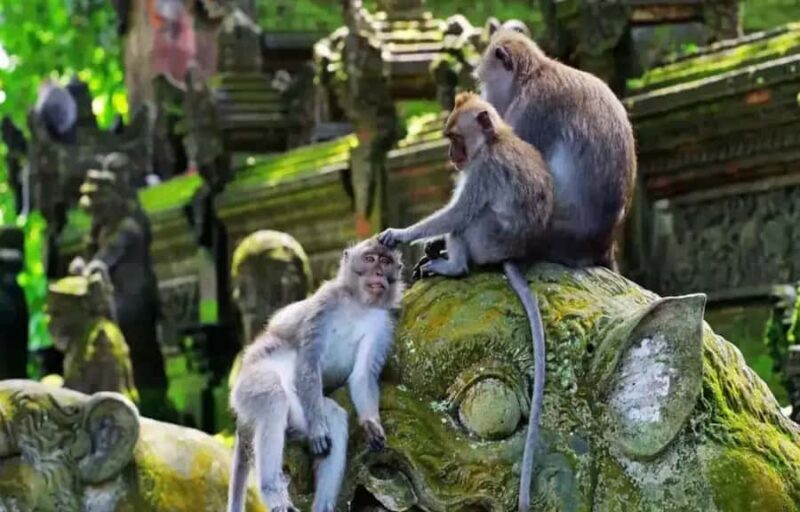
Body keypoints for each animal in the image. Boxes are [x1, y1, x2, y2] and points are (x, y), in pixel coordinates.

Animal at [227, 238, 403, 512]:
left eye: (386, 261)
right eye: (370, 259)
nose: (378, 273)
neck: (358, 304)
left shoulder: (382, 324)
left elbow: (363, 376)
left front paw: (371, 422)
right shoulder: (325, 304)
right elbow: (308, 361)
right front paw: (320, 430)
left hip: (298, 413)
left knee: (333, 416)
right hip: (251, 384)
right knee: (273, 398)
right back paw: (271, 490)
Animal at [377, 92, 550, 512]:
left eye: (456, 137)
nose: (452, 156)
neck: (494, 141)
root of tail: (513, 255)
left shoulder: (483, 171)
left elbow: (458, 212)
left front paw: (402, 234)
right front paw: (427, 245)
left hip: (487, 238)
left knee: (467, 220)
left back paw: (453, 265)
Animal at [477, 28, 637, 271]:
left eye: (485, 83)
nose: (485, 98)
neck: (531, 76)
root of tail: (602, 245)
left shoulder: (531, 108)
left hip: (551, 235)